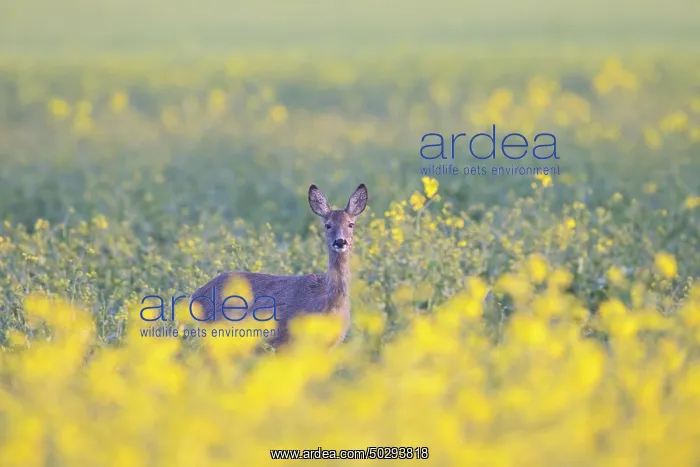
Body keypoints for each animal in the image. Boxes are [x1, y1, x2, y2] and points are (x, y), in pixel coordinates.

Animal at [189, 183, 368, 350]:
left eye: (351, 224)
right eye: (328, 225)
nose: (340, 241)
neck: (326, 304)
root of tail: (194, 295)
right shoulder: (287, 341)